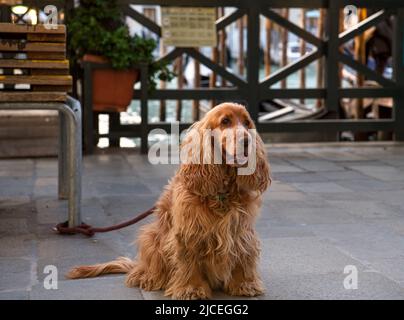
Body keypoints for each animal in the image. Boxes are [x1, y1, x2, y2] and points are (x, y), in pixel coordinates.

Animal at [68, 103, 272, 300]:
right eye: (225, 121)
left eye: (247, 123)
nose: (247, 141)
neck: (221, 191)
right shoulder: (189, 232)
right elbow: (189, 260)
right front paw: (192, 288)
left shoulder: (241, 230)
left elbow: (243, 254)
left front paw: (244, 284)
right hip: (150, 237)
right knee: (145, 270)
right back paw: (148, 278)